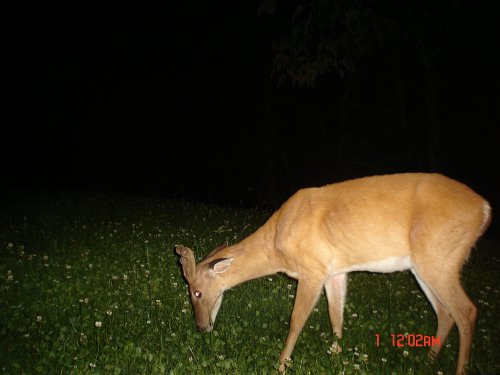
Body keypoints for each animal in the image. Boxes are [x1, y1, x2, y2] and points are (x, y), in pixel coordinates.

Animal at [174, 174, 490, 375]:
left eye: (196, 292)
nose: (201, 327)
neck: (276, 243)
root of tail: (485, 209)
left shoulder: (312, 269)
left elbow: (296, 320)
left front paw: (281, 365)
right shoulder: (335, 271)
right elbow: (336, 316)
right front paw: (338, 357)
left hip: (439, 258)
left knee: (467, 311)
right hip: (424, 267)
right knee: (446, 313)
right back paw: (428, 359)